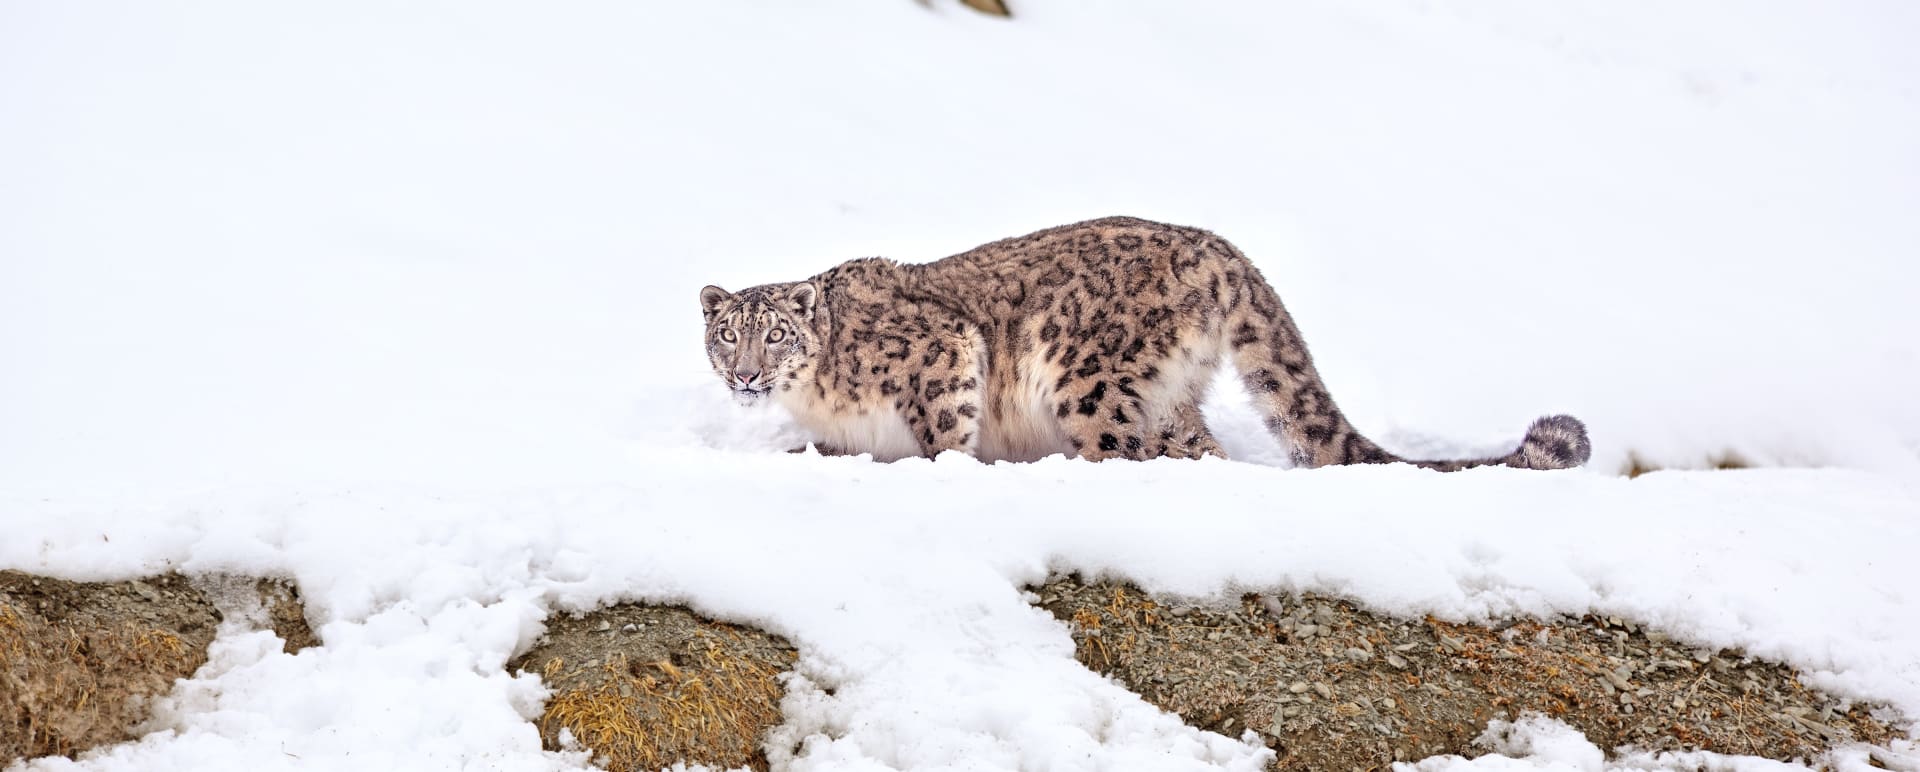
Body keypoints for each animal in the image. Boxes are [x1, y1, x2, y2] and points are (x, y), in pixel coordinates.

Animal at [698, 216, 1590, 470]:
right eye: (725, 337)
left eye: (775, 335)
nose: (743, 377)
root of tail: (1218, 249)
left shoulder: (942, 356)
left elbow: (945, 432)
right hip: (1168, 397)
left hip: (1086, 379)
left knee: (1120, 448)